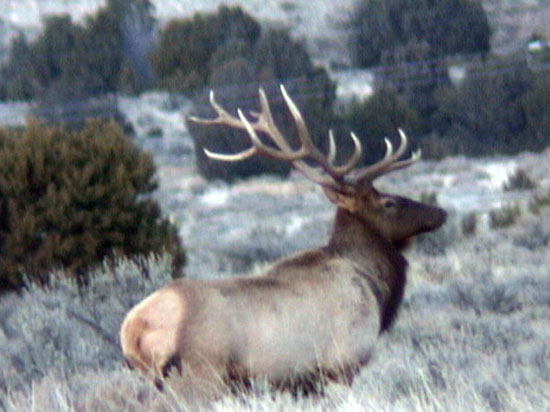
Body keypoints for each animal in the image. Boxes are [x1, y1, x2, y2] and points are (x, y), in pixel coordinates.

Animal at [122, 85, 448, 394]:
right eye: (389, 203)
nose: (441, 212)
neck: (374, 287)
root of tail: (133, 331)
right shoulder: (344, 362)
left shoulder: (306, 383)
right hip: (200, 374)